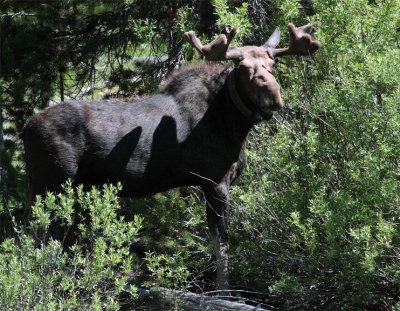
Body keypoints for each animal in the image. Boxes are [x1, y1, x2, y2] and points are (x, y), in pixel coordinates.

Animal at [22, 23, 322, 292]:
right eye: (244, 68)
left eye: (272, 65)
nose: (274, 96)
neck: (233, 123)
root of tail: (25, 130)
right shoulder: (215, 182)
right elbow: (222, 245)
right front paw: (225, 293)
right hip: (53, 183)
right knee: (42, 237)